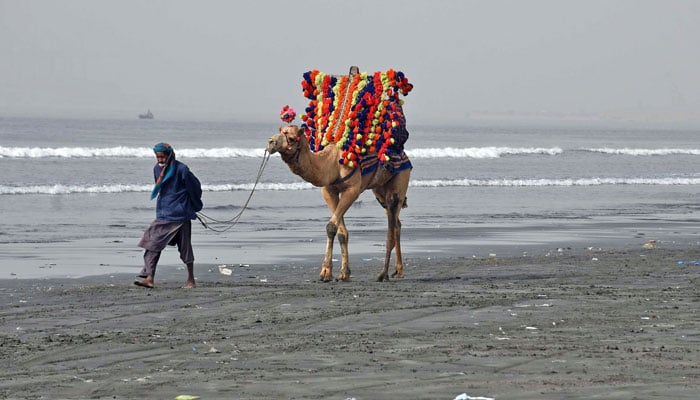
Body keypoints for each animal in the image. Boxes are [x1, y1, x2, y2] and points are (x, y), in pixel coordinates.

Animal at [266, 124, 410, 282]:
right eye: (280, 131)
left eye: (291, 138)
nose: (271, 142)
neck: (332, 163)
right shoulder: (329, 190)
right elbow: (341, 232)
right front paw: (342, 273)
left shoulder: (352, 190)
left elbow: (330, 226)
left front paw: (325, 272)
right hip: (379, 190)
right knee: (396, 223)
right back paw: (398, 270)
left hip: (400, 180)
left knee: (391, 225)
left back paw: (383, 274)